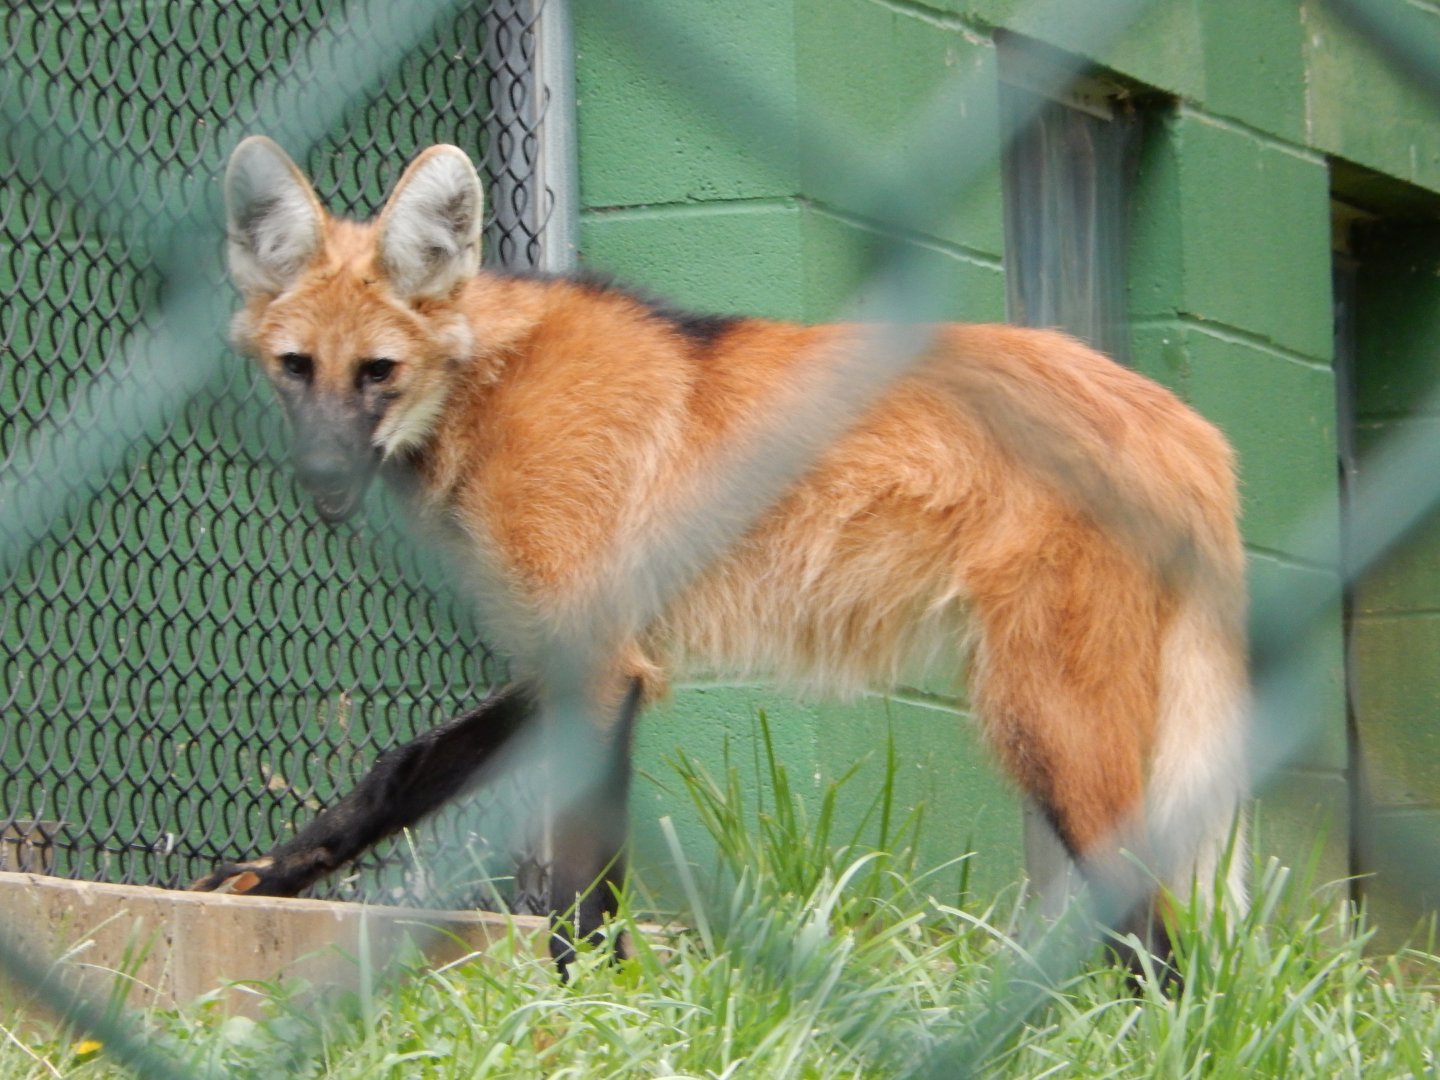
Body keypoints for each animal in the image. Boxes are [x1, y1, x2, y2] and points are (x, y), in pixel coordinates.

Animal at [194, 135, 1250, 978]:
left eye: (378, 372)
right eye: (296, 369)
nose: (324, 480)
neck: (481, 393)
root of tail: (1191, 429)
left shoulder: (601, 663)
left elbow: (582, 892)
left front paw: (588, 1005)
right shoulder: (574, 648)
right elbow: (400, 767)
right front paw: (264, 875)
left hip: (1043, 713)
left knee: (1153, 932)